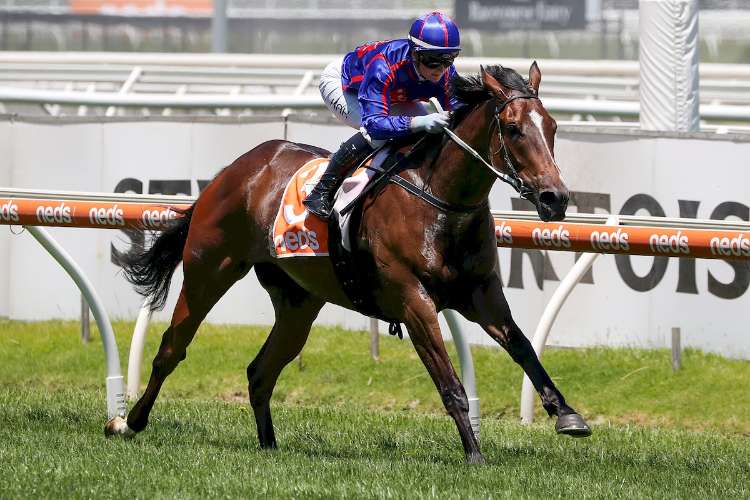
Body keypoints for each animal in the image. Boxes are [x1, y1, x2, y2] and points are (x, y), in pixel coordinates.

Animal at [105, 63, 591, 464]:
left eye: (551, 126)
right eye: (513, 129)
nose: (555, 198)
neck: (439, 200)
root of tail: (236, 170)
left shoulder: (481, 293)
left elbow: (524, 346)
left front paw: (566, 414)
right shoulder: (413, 301)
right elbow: (449, 382)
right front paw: (474, 455)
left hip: (298, 302)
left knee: (261, 370)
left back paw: (269, 445)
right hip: (210, 268)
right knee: (172, 348)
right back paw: (128, 422)